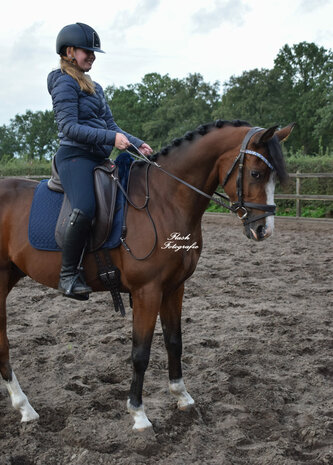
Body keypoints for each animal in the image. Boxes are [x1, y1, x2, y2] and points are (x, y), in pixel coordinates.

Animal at [0, 118, 294, 428]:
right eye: (256, 173)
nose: (264, 230)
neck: (165, 200)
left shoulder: (174, 288)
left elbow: (174, 341)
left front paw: (182, 396)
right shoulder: (147, 291)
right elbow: (141, 352)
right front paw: (138, 414)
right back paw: (24, 406)